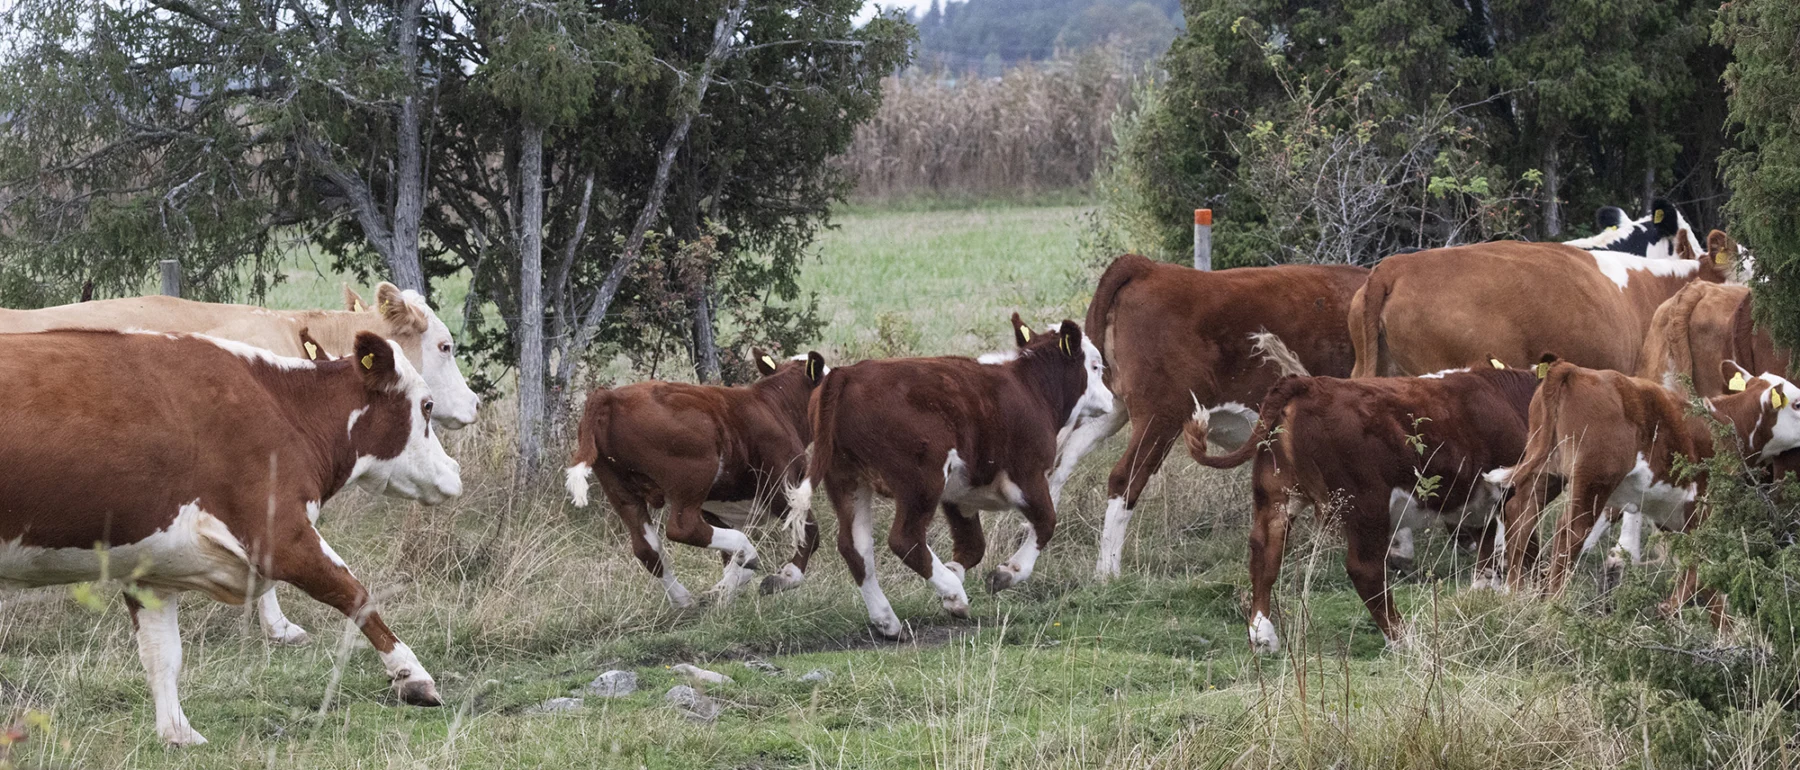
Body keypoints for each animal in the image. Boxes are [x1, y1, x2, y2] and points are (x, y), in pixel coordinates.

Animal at [0, 330, 462, 746]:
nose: (454, 471)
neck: (282, 409)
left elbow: (161, 655)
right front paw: (412, 675)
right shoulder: (279, 534)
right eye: (427, 405)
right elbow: (355, 594)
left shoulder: (149, 569)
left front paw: (178, 733)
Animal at [563, 351, 829, 606]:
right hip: (693, 475)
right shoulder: (783, 486)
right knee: (684, 528)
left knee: (647, 548)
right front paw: (785, 578)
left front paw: (723, 592)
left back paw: (684, 601)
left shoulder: (720, 508)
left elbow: (730, 561)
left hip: (619, 489)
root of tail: (610, 397)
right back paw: (748, 553)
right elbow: (810, 532)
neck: (775, 406)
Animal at [781, 314, 1111, 639]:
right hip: (920, 481)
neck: (1031, 389)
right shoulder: (1027, 476)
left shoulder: (960, 495)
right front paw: (1006, 573)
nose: (1110, 398)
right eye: (1095, 366)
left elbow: (973, 545)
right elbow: (1045, 522)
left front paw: (954, 571)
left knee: (856, 548)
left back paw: (888, 621)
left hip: (847, 480)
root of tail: (846, 374)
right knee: (905, 539)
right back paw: (954, 595)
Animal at [1183, 362, 1543, 652]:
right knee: (1365, 570)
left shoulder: (1481, 508)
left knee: (1264, 553)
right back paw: (1403, 640)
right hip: (1365, 502)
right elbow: (1524, 548)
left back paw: (1263, 636)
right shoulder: (1518, 492)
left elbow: (1489, 556)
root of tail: (1309, 384)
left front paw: (1486, 599)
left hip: (1275, 496)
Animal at [1486, 359, 1800, 612]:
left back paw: (1513, 593)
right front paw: (1669, 611)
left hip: (1547, 471)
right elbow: (1698, 568)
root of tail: (1573, 370)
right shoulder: (1702, 509)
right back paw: (1554, 603)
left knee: (1521, 515)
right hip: (1593, 479)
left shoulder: (1667, 517)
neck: (1727, 423)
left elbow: (1707, 586)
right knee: (1570, 532)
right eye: (1797, 403)